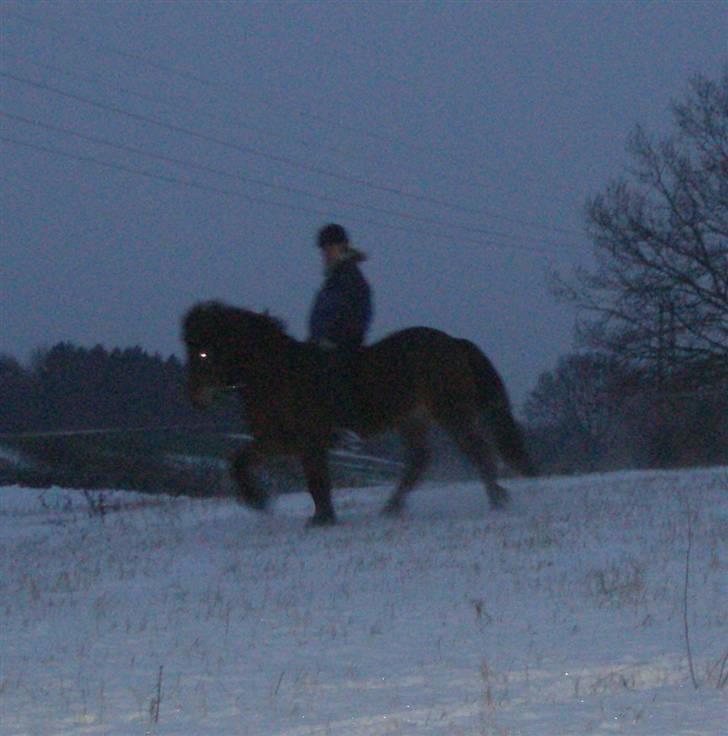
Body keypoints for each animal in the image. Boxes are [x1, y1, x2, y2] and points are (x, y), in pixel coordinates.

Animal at [182, 302, 536, 528]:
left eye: (203, 352)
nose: (196, 399)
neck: (276, 372)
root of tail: (453, 342)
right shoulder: (279, 441)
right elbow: (240, 461)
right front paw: (261, 500)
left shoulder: (300, 440)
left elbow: (315, 481)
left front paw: (316, 518)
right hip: (413, 419)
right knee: (421, 460)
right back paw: (392, 508)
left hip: (451, 413)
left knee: (478, 451)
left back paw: (497, 500)